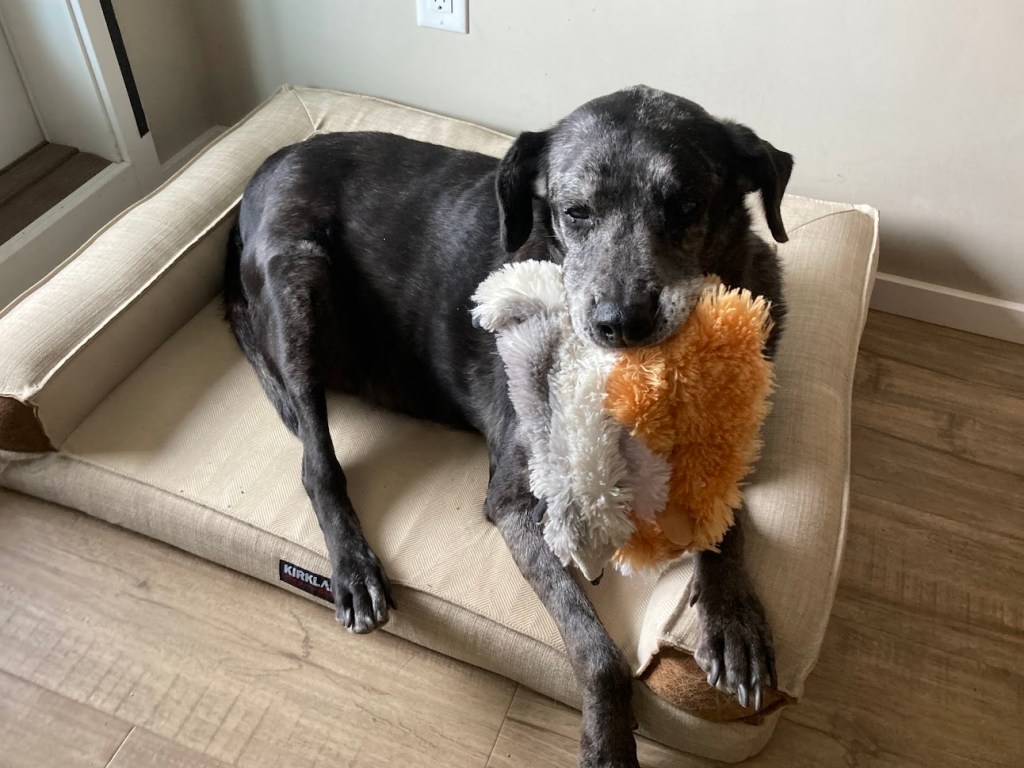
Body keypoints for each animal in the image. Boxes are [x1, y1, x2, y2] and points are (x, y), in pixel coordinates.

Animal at [224, 85, 792, 768]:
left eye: (685, 206)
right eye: (575, 212)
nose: (619, 322)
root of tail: (268, 165)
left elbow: (727, 522)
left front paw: (733, 617)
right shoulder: (518, 501)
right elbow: (597, 650)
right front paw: (608, 744)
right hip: (299, 276)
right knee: (316, 461)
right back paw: (354, 567)